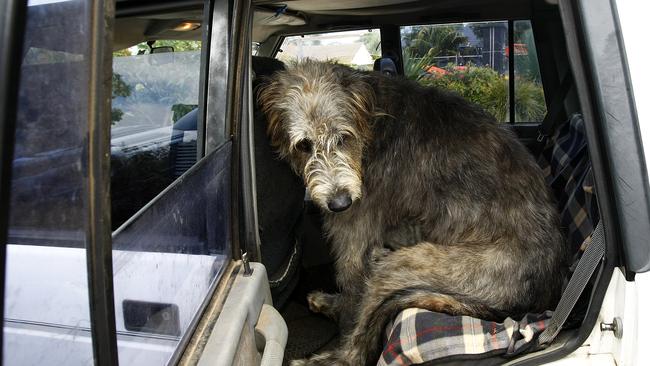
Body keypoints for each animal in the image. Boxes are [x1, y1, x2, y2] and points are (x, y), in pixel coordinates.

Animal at [256, 60, 564, 366]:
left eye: (343, 138)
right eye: (303, 145)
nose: (340, 203)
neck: (370, 116)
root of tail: (538, 299)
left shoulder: (357, 223)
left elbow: (350, 277)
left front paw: (342, 312)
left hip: (411, 265)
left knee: (359, 343)